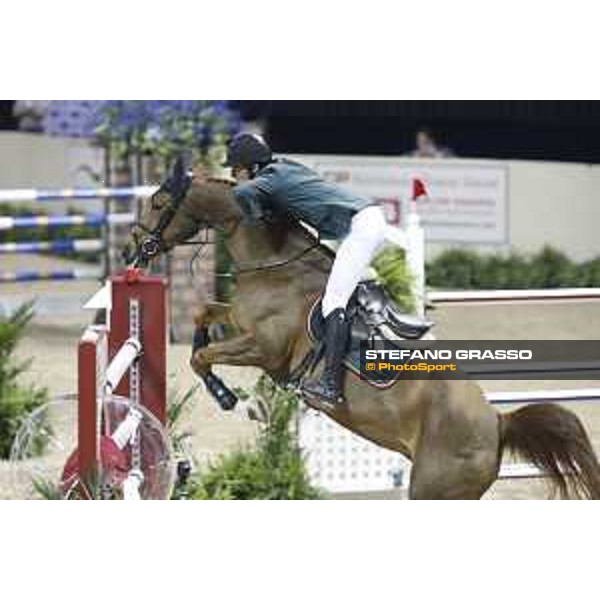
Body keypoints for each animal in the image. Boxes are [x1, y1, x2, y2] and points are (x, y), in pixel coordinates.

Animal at [125, 163, 600, 496]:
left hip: (433, 488)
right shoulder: (240, 323)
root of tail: (498, 423)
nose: (134, 247)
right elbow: (202, 317)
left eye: (158, 202)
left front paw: (232, 399)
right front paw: (224, 386)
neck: (273, 264)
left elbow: (203, 355)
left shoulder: (265, 348)